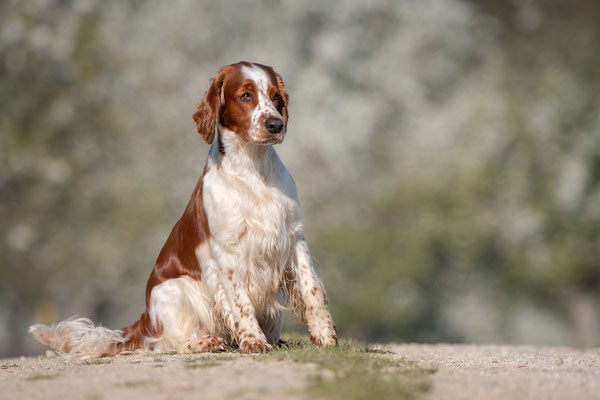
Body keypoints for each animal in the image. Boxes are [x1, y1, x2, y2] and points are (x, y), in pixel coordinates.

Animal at [29, 61, 338, 354]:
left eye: (276, 97)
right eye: (246, 95)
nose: (275, 124)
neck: (253, 168)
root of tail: (145, 319)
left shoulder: (293, 235)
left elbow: (311, 289)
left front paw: (325, 336)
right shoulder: (227, 252)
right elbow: (241, 302)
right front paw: (253, 341)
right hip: (174, 289)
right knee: (165, 342)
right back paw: (206, 342)